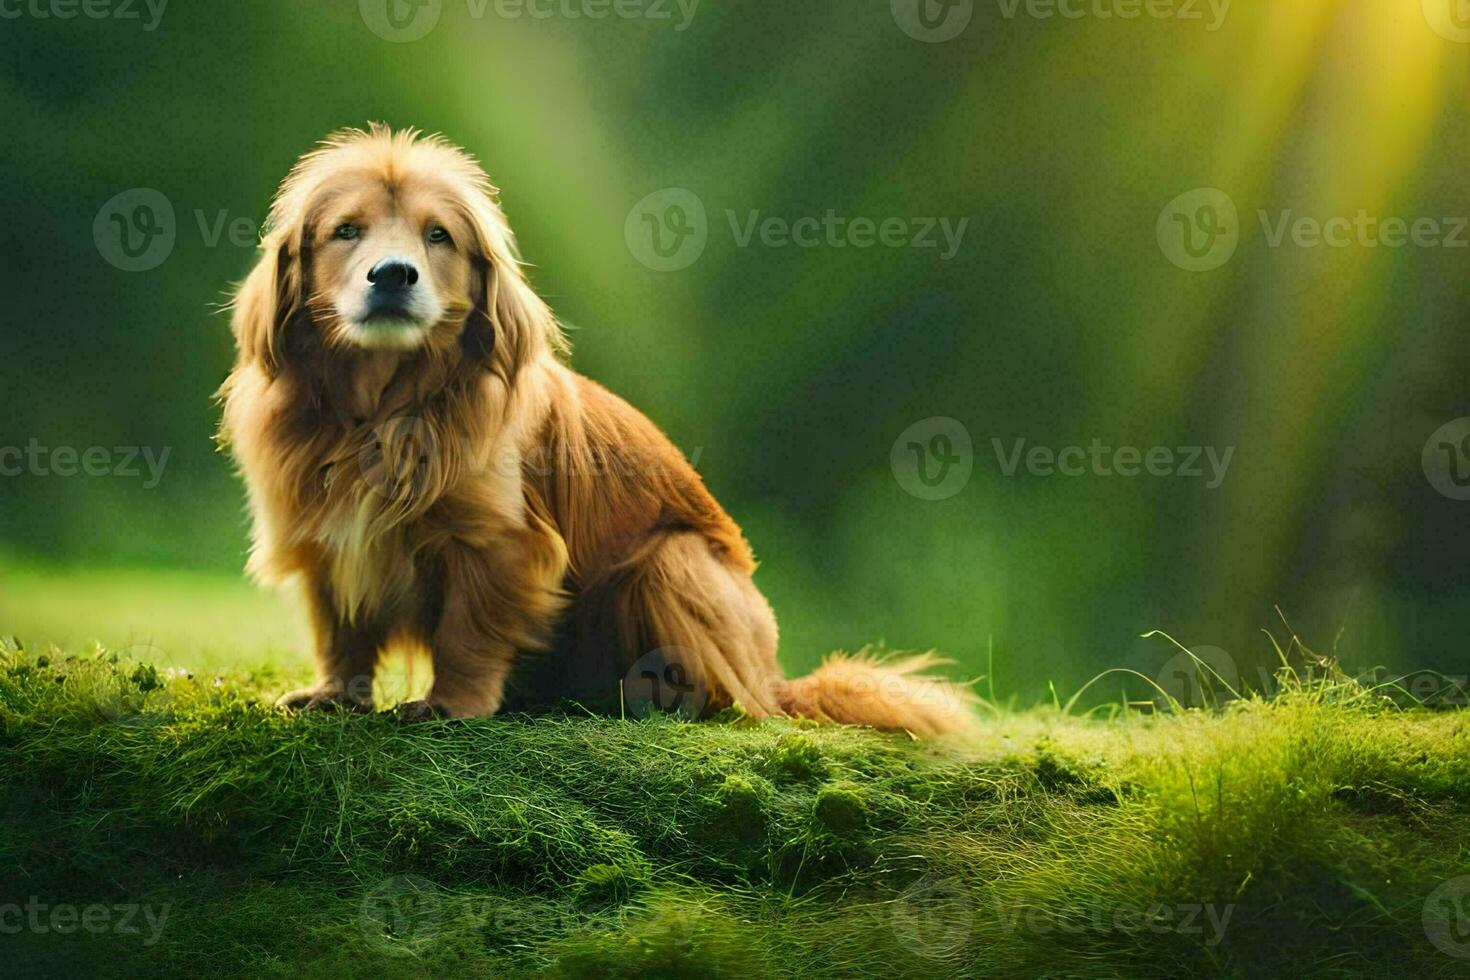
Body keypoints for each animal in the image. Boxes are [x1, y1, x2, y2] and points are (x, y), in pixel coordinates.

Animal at [217, 124, 976, 734]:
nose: (394, 275)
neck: (382, 410)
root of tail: (774, 677)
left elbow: (467, 631)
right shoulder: (323, 532)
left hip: (671, 561)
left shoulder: (498, 544)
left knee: (725, 694)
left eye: (438, 236)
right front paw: (336, 695)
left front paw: (451, 705)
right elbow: (339, 628)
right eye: (346, 230)